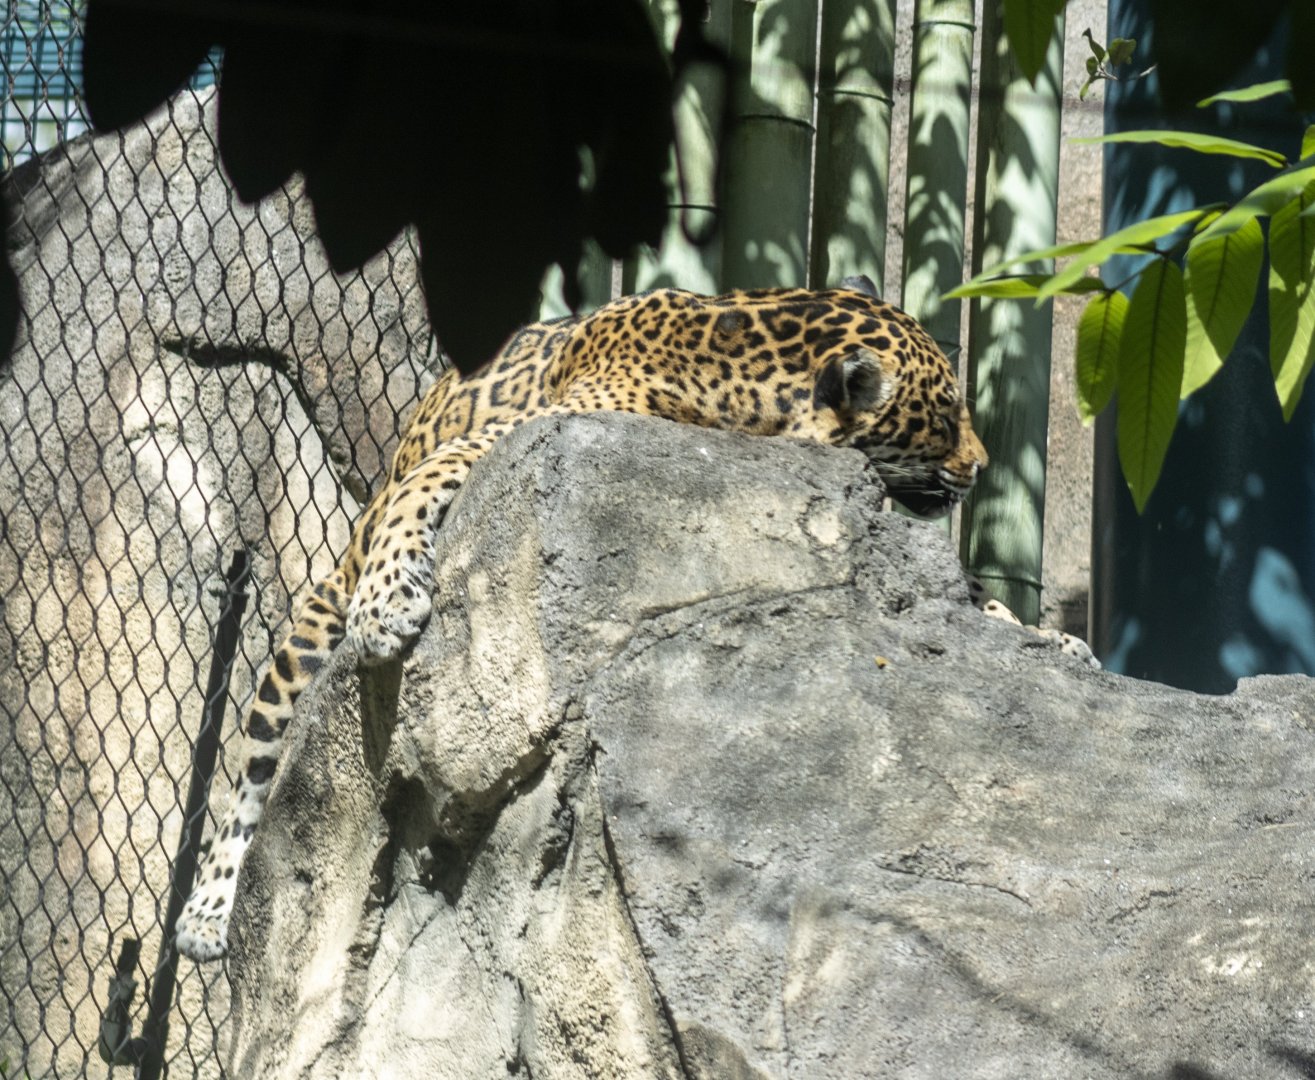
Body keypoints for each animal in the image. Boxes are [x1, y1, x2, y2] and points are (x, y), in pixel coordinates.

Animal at [174, 276, 1097, 962]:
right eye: (942, 416)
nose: (979, 465)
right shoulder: (517, 431)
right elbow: (420, 496)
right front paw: (389, 603)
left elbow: (976, 594)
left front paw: (1049, 637)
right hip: (301, 640)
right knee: (254, 764)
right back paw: (206, 915)